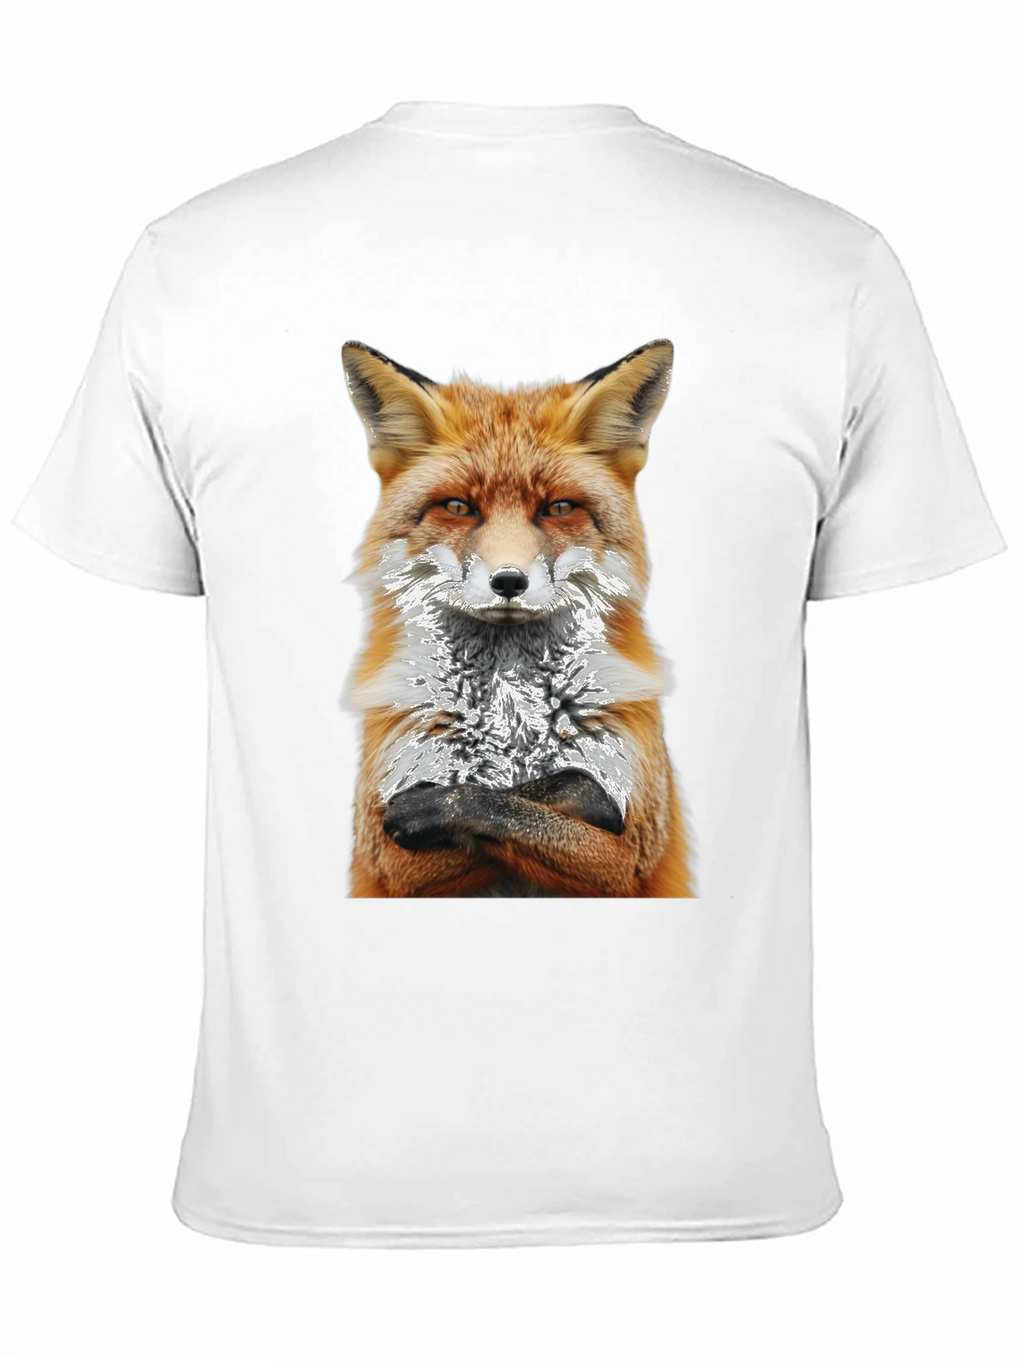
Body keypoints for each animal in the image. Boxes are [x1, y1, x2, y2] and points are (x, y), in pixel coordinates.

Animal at [340, 337, 696, 898]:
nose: (509, 581)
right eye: (458, 507)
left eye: (559, 508)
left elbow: (529, 799)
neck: (510, 706)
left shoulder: (631, 854)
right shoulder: (389, 861)